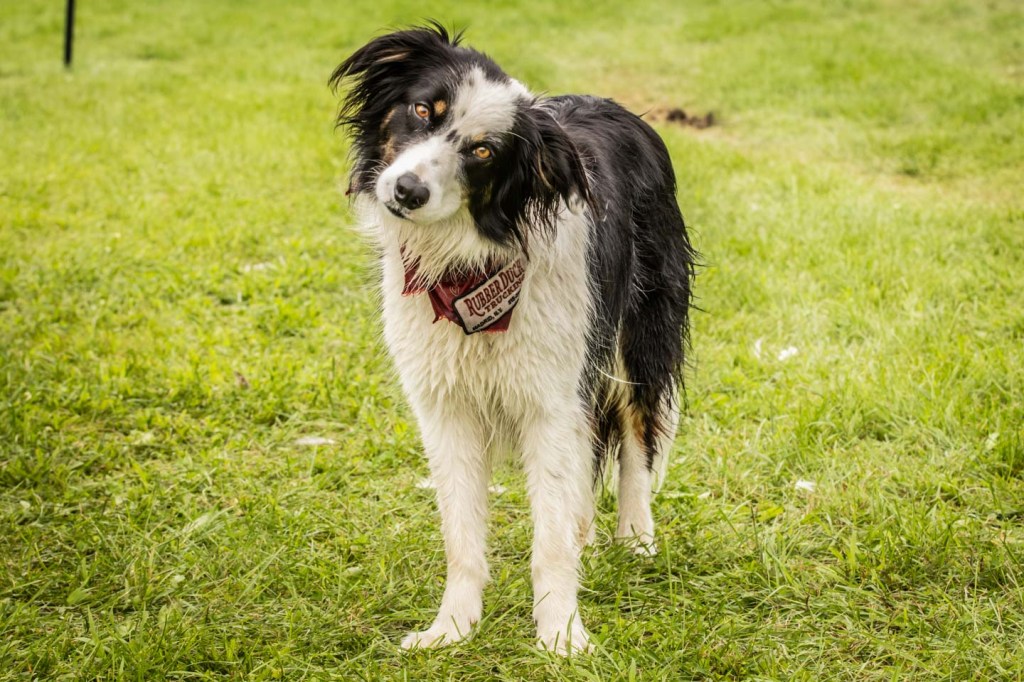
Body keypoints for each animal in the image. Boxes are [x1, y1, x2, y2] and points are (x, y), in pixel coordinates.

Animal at [330, 23, 696, 654]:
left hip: (637, 332)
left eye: (482, 152)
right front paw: (451, 629)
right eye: (423, 109)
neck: (467, 269)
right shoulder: (444, 404)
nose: (406, 190)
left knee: (636, 430)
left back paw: (636, 536)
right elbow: (461, 534)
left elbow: (548, 537)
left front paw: (562, 636)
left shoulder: (551, 396)